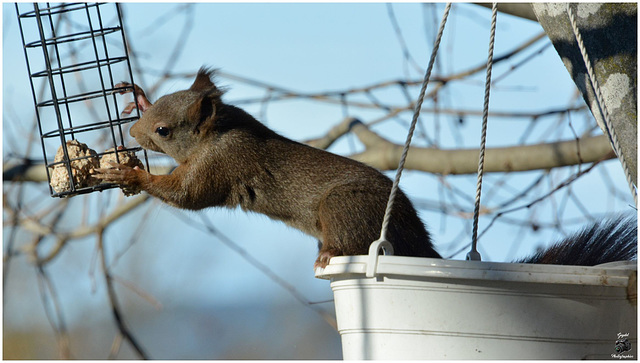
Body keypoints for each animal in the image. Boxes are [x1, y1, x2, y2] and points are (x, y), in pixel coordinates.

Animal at [94, 67, 636, 268]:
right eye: (154, 111)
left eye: (164, 131)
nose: (134, 134)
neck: (218, 131)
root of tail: (416, 238)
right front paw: (134, 93)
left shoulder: (223, 165)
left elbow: (188, 196)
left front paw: (129, 175)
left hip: (344, 208)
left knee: (350, 239)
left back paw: (329, 254)